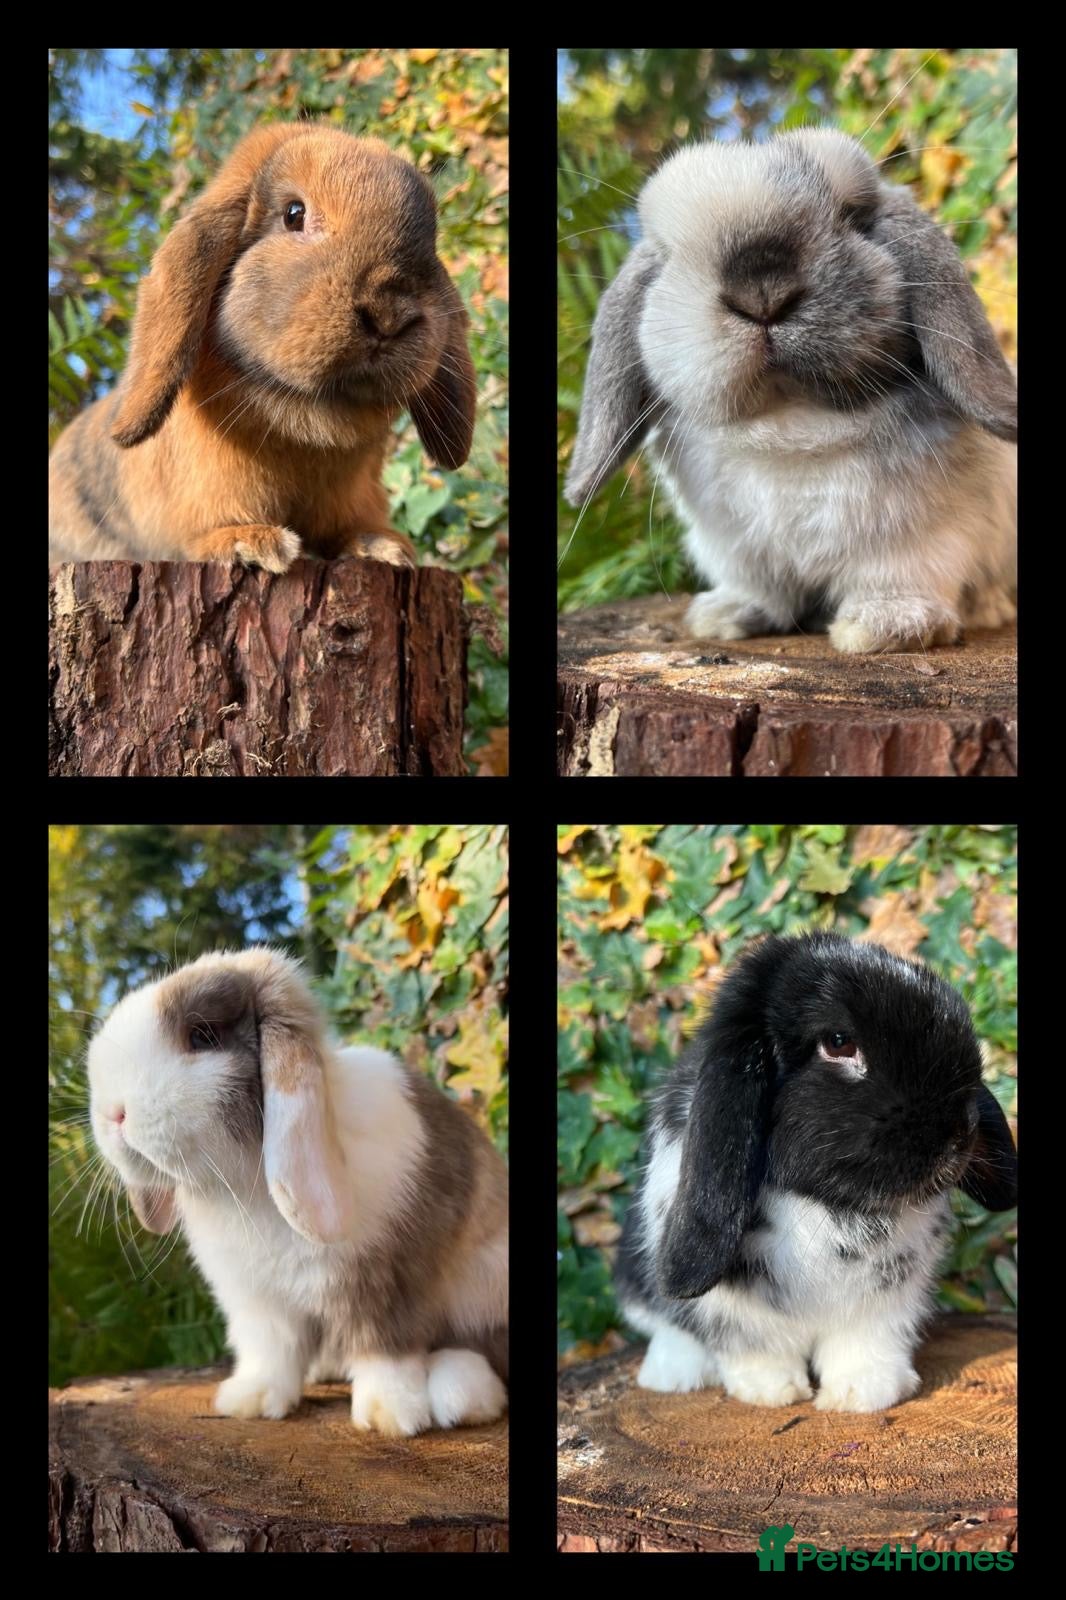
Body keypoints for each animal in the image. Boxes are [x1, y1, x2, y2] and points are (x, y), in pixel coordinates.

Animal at [49, 121, 477, 572]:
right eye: (294, 214)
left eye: (431, 239)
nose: (390, 314)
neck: (311, 421)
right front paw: (249, 543)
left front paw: (381, 546)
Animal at [87, 948, 507, 1437]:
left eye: (202, 1036)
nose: (111, 1113)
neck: (244, 1184)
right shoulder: (259, 1303)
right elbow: (271, 1352)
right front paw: (249, 1401)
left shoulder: (387, 1281)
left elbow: (386, 1349)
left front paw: (390, 1414)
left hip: (484, 1285)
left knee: (486, 1350)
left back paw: (461, 1394)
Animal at [565, 128, 1017, 653]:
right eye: (670, 252)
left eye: (855, 216)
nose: (763, 292)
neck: (792, 423)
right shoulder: (737, 548)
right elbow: (761, 589)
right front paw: (724, 616)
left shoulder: (921, 539)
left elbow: (898, 577)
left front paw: (883, 627)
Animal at [615, 932, 1017, 1413]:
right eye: (839, 1042)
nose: (960, 1133)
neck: (828, 1204)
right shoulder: (735, 1314)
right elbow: (751, 1349)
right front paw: (772, 1392)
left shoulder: (884, 1306)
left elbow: (865, 1347)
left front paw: (861, 1396)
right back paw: (671, 1376)